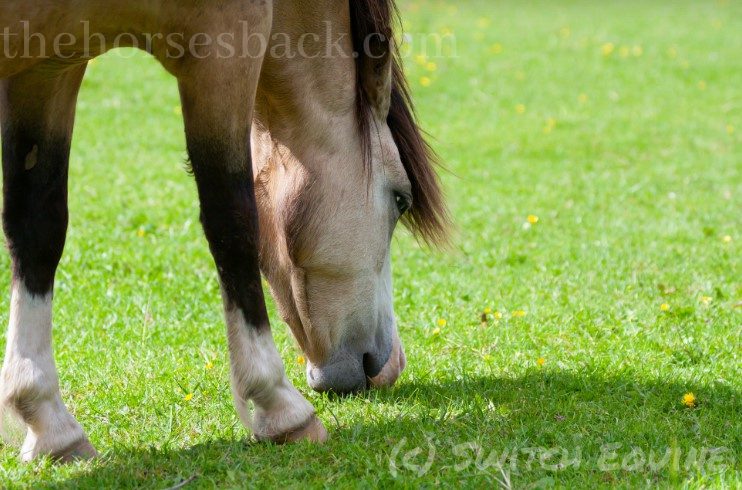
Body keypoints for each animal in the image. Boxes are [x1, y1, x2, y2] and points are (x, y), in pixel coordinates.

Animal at [0, 0, 448, 461]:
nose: (390, 366)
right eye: (401, 199)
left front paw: (47, 421)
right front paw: (279, 404)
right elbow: (232, 220)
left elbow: (37, 227)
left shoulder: (48, 66)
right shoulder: (223, 46)